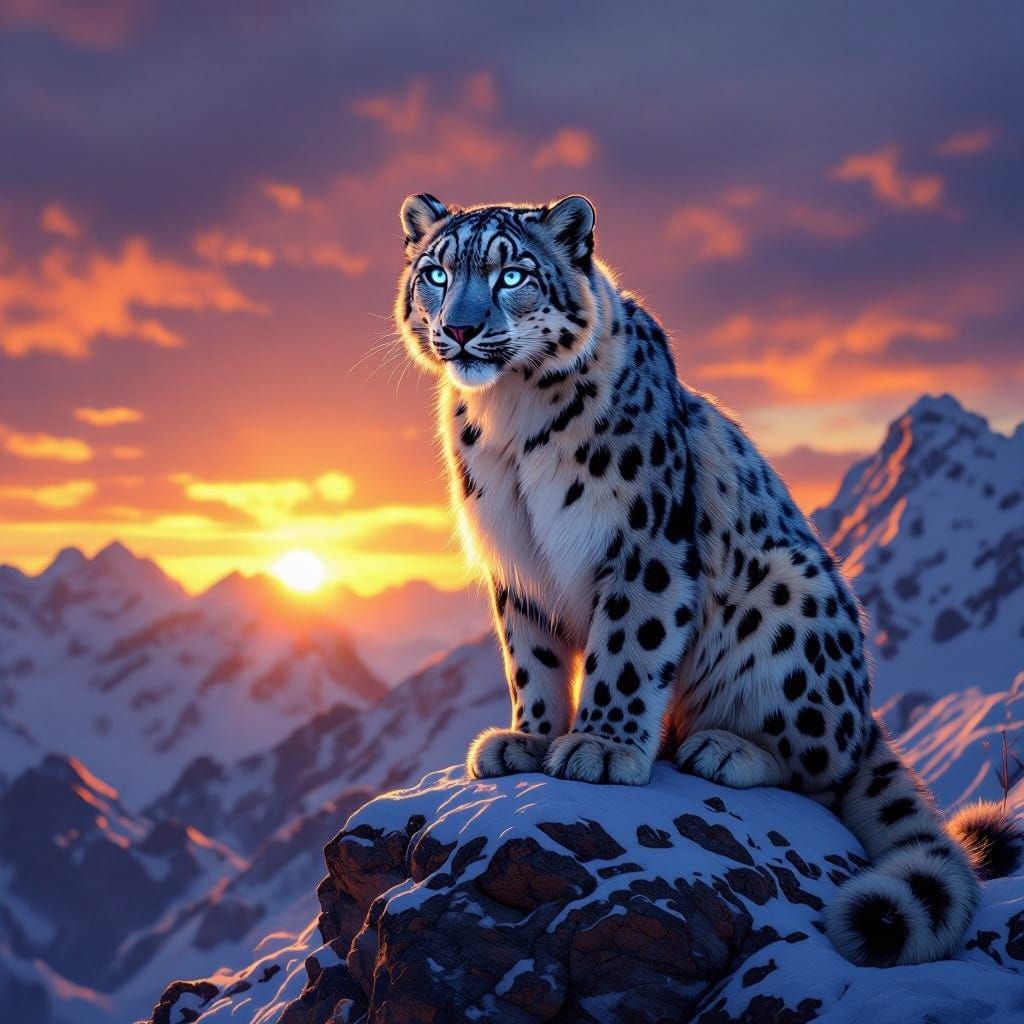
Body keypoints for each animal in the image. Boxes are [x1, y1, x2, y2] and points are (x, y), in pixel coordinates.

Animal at [394, 191, 1022, 967]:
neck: (510, 417)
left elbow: (628, 648)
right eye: (436, 273)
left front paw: (601, 747)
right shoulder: (514, 561)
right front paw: (530, 738)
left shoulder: (642, 536)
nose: (460, 327)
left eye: (512, 275)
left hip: (793, 600)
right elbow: (530, 659)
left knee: (823, 769)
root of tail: (866, 709)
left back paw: (725, 749)